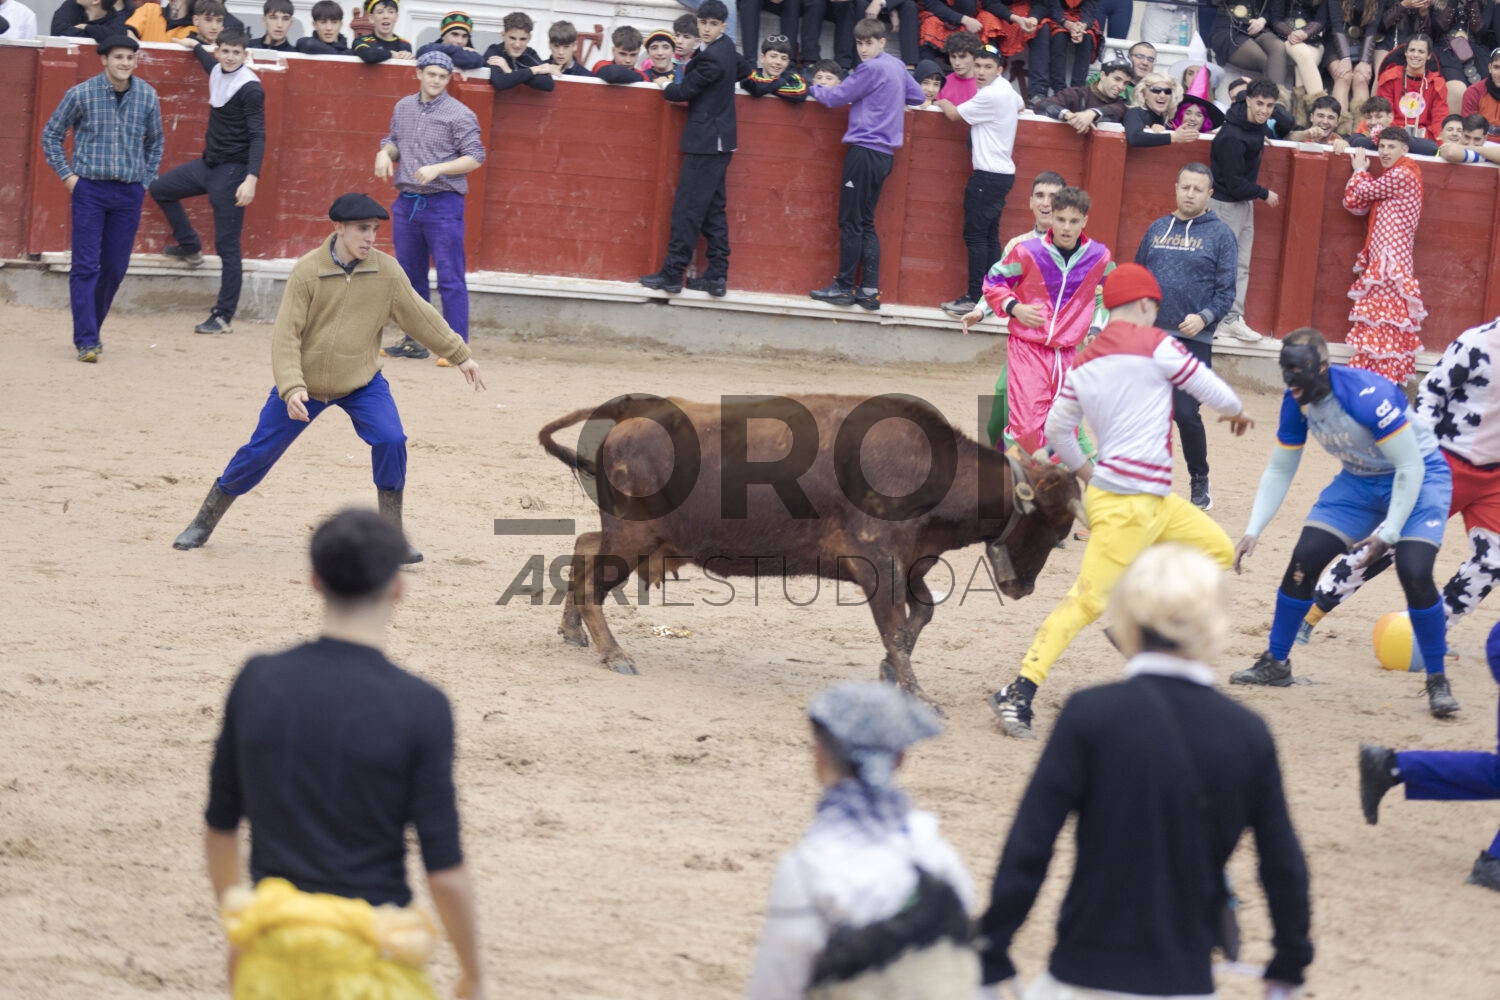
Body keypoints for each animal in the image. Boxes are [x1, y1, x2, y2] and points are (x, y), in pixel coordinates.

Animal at [537, 393, 1084, 709]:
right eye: (1055, 527)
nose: (1021, 587)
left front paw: (891, 672)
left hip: (634, 537)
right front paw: (917, 693)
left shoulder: (910, 566)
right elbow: (896, 628)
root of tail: (633, 418)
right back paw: (615, 653)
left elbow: (920, 616)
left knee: (584, 551)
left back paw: (573, 632)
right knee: (592, 577)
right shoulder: (879, 566)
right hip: (632, 538)